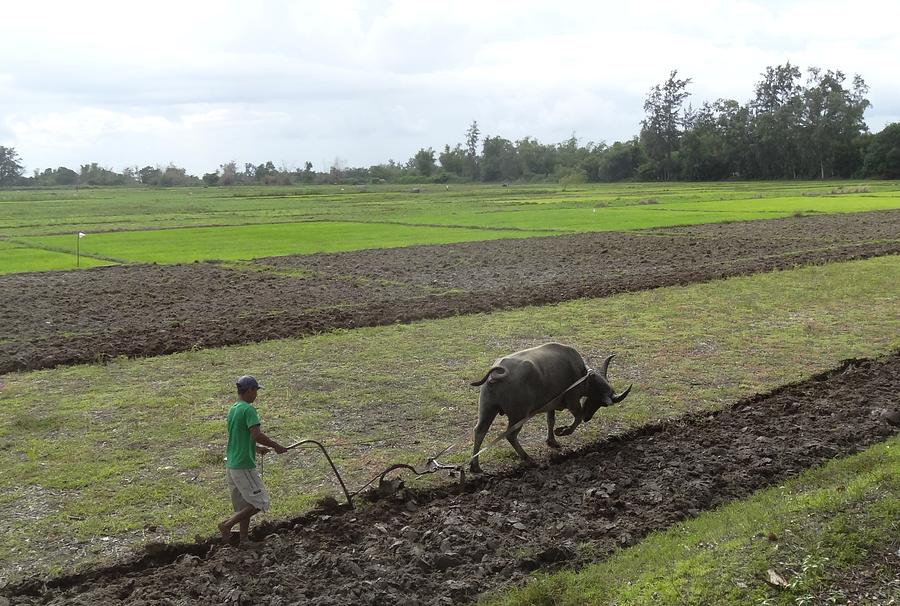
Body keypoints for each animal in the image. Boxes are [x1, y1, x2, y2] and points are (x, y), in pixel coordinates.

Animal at [468, 342, 628, 476]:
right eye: (601, 402)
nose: (589, 417)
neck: (583, 376)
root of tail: (498, 374)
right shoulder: (572, 400)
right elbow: (577, 418)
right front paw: (562, 431)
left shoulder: (551, 405)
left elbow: (550, 421)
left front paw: (552, 440)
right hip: (519, 415)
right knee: (511, 435)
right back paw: (527, 458)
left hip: (488, 409)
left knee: (480, 431)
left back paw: (475, 466)